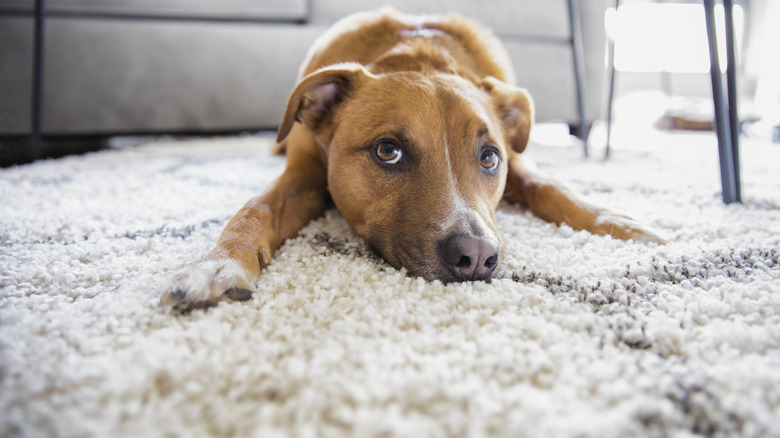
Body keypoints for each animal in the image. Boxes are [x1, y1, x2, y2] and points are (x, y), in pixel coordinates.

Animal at [161, 6, 660, 312]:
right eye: (388, 151)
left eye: (489, 158)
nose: (477, 257)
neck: (418, 58)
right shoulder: (303, 172)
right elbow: (255, 208)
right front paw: (218, 265)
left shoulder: (520, 164)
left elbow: (552, 186)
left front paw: (617, 222)